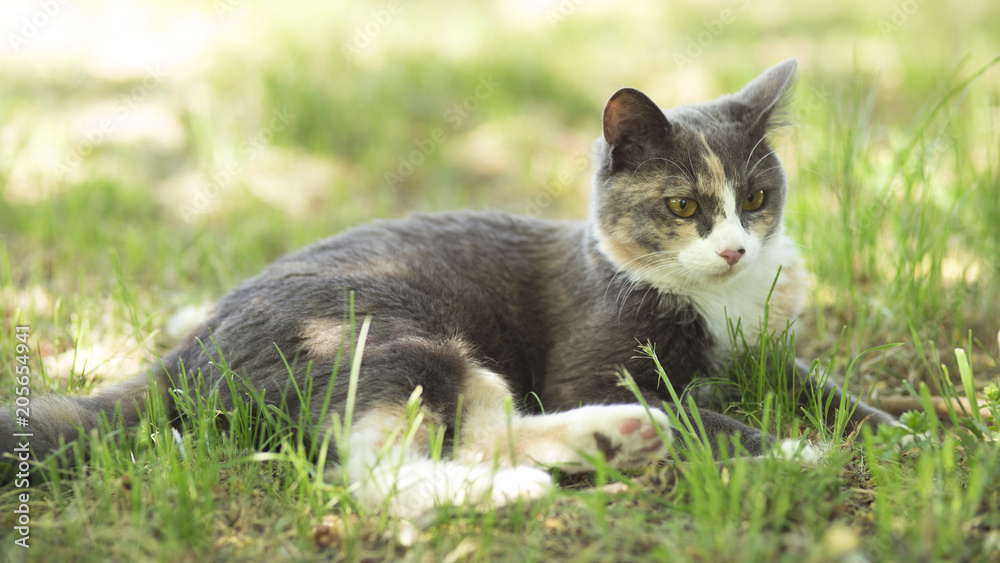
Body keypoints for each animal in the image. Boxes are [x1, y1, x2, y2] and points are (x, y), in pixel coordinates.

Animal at [0, 59, 904, 524]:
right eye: (684, 206)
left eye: (756, 197)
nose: (733, 247)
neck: (718, 301)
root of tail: (185, 354)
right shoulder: (592, 354)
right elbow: (694, 409)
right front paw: (794, 448)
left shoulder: (765, 351)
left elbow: (823, 388)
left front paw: (904, 433)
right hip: (380, 331)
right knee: (379, 470)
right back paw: (541, 479)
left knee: (483, 427)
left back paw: (617, 439)